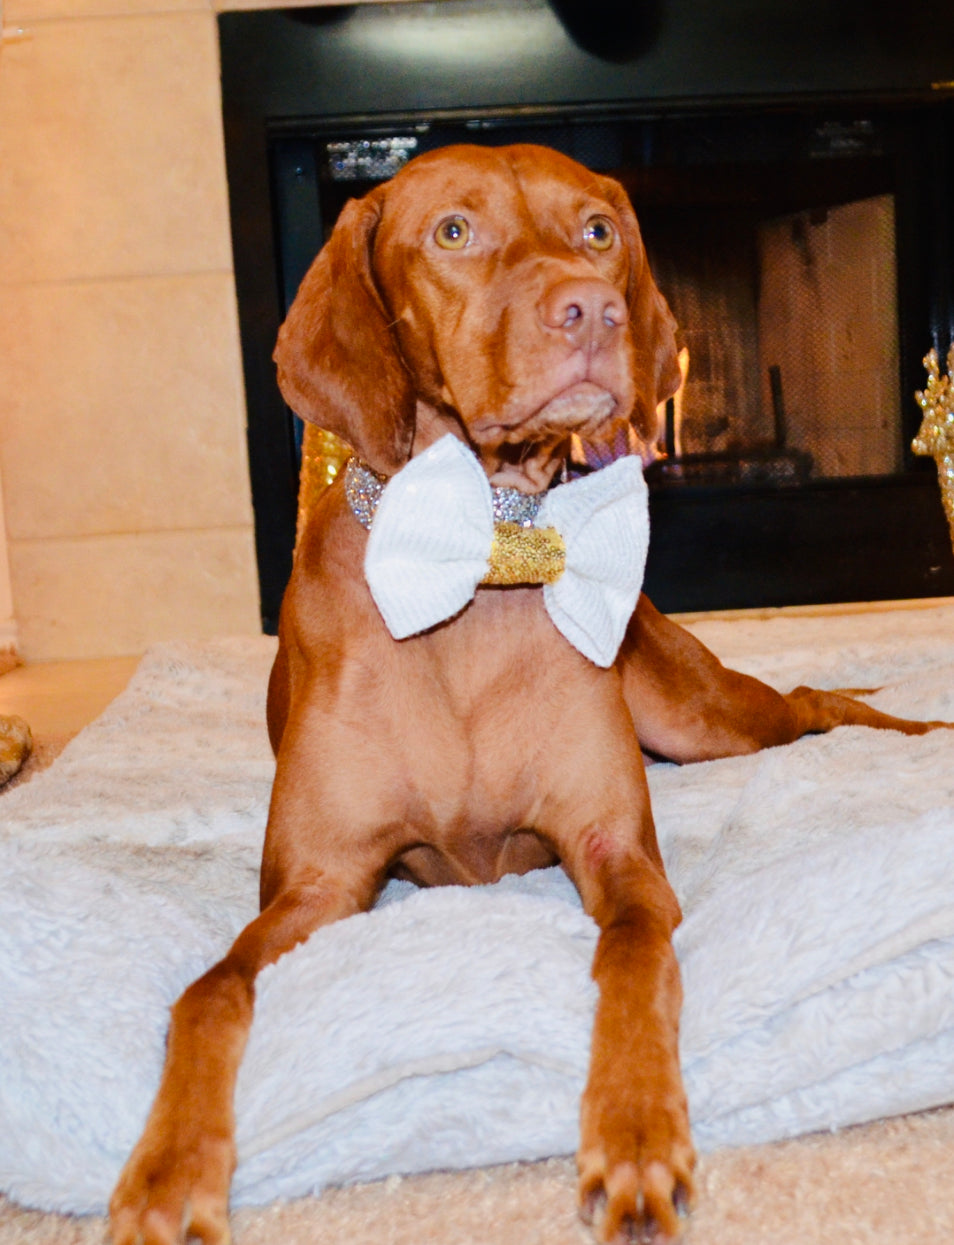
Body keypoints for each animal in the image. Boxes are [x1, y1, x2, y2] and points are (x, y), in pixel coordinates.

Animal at [110, 145, 946, 1245]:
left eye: (597, 230)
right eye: (453, 232)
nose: (592, 309)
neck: (481, 556)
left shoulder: (614, 854)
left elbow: (635, 963)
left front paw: (636, 1134)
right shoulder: (318, 885)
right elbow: (204, 996)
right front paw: (166, 1174)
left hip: (698, 718)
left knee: (814, 699)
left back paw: (917, 723)